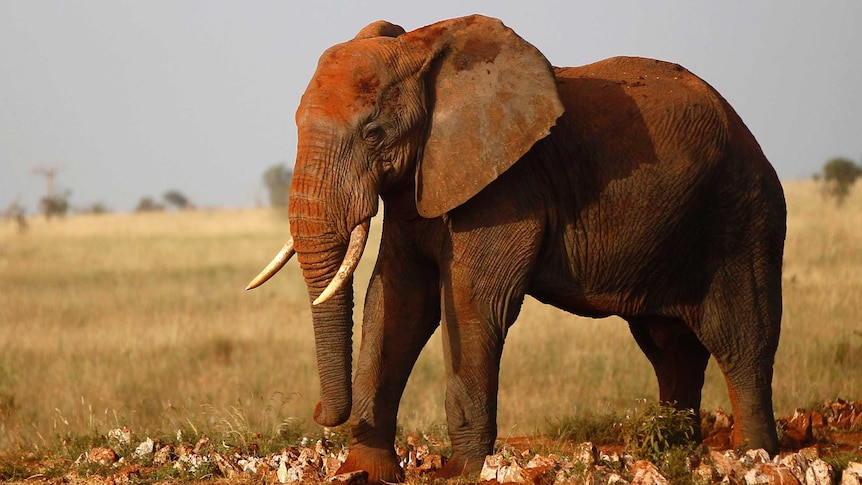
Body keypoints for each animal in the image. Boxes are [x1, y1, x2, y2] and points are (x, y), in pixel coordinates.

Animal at [246, 13, 788, 482]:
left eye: (373, 132)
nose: (318, 410)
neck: (423, 49)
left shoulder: (506, 186)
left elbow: (472, 302)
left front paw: (464, 472)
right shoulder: (421, 182)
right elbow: (398, 300)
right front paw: (364, 471)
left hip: (743, 215)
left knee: (740, 339)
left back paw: (754, 454)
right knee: (670, 346)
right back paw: (673, 448)